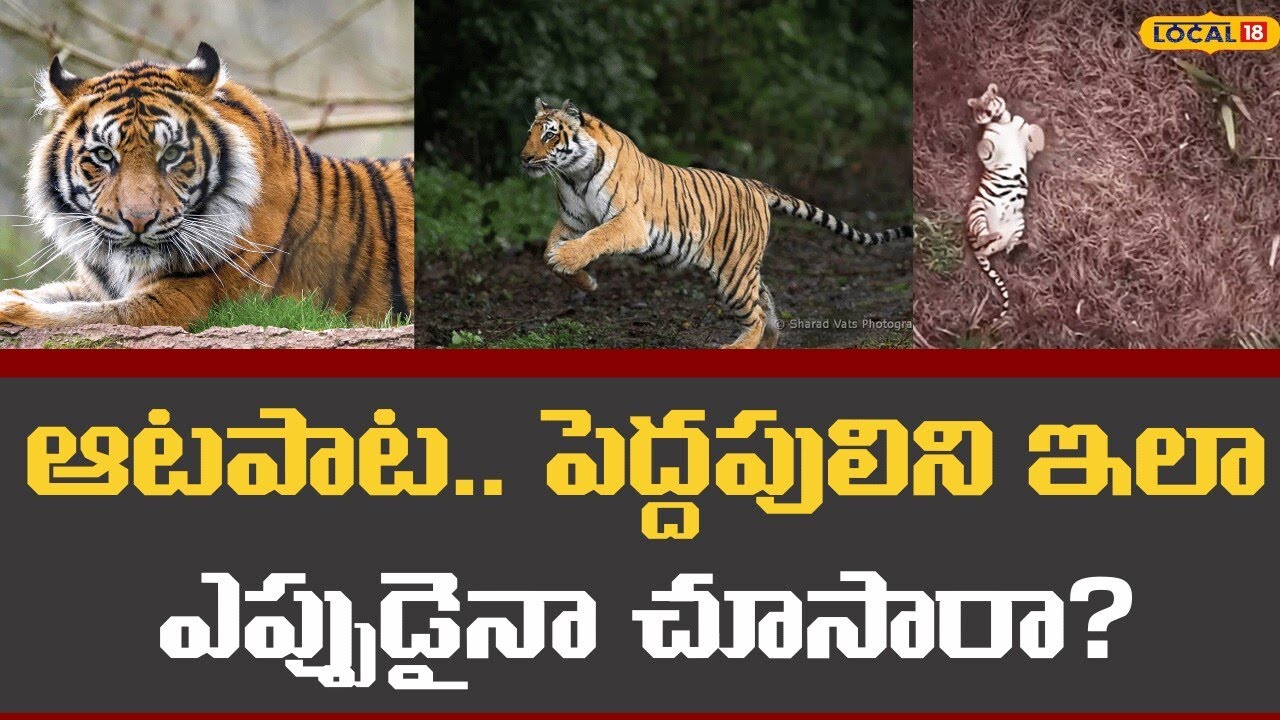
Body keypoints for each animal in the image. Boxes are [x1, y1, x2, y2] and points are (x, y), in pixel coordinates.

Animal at [2, 42, 413, 330]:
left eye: (171, 154)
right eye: (104, 155)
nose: (138, 221)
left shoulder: (186, 300)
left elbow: (90, 315)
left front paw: (12, 308)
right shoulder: (99, 284)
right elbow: (60, 294)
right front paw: (13, 294)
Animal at [520, 98, 911, 349]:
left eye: (550, 134)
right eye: (530, 133)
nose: (523, 158)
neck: (575, 175)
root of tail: (755, 185)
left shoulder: (629, 222)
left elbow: (598, 237)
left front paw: (568, 261)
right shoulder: (572, 222)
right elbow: (547, 251)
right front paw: (582, 279)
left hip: (734, 272)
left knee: (756, 315)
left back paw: (734, 349)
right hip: (745, 268)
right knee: (766, 304)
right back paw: (769, 345)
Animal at [964, 83, 1044, 320]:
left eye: (989, 101)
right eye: (979, 108)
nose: (987, 113)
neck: (1004, 121)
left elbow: (1035, 130)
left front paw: (1038, 137)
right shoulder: (990, 156)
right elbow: (984, 145)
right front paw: (978, 136)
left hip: (1019, 222)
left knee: (1005, 249)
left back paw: (1021, 246)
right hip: (977, 208)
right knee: (983, 240)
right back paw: (993, 237)